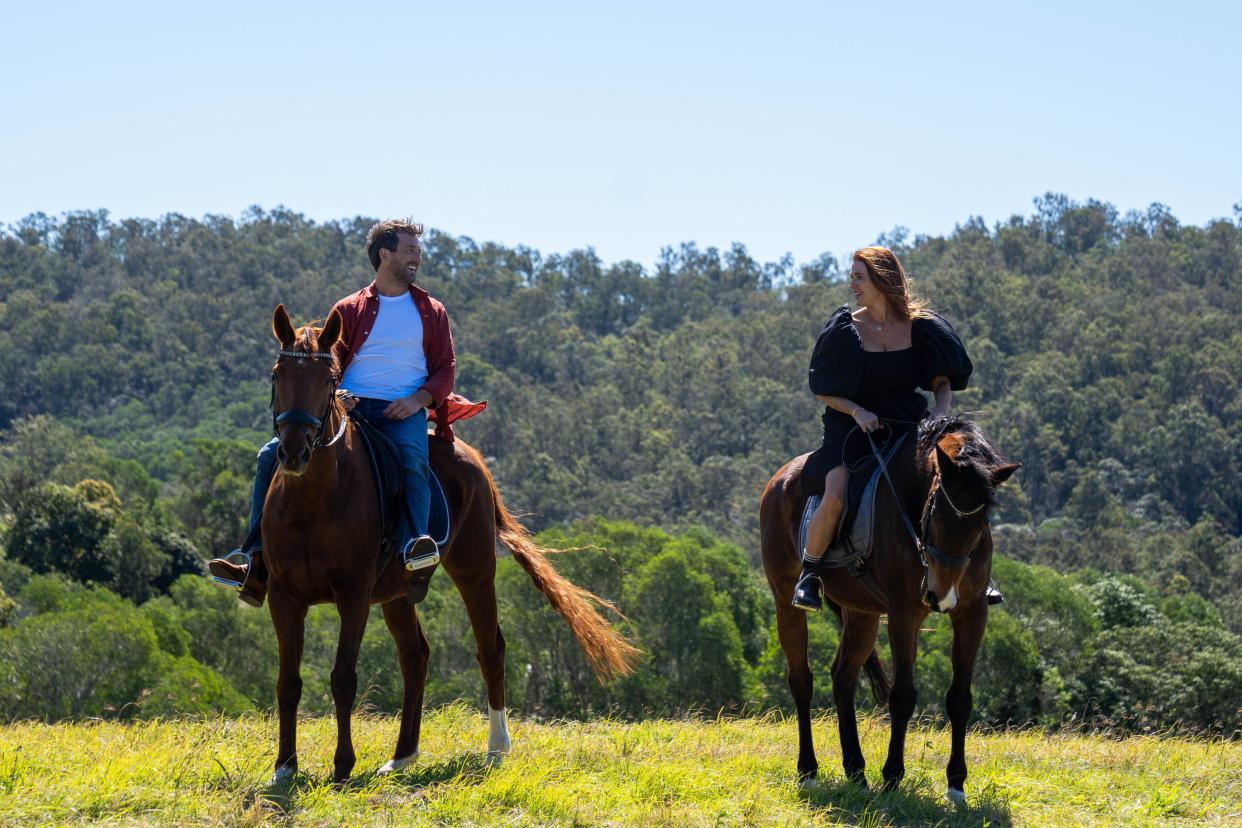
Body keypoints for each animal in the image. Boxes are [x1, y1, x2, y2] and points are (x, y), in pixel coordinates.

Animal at [258, 307, 635, 789]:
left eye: (328, 380)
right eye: (277, 375)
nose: (293, 452)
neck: (313, 498)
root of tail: (472, 458)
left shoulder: (353, 595)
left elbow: (343, 677)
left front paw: (342, 767)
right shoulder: (283, 596)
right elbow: (287, 682)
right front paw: (284, 767)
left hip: (474, 571)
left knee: (490, 648)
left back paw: (496, 748)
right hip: (398, 594)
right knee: (415, 657)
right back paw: (402, 756)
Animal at [755, 422, 1018, 804]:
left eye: (982, 520)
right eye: (936, 512)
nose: (940, 594)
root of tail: (778, 479)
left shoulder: (971, 613)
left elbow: (960, 698)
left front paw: (956, 784)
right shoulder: (903, 613)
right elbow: (903, 696)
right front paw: (893, 776)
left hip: (861, 613)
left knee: (843, 678)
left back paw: (856, 770)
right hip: (784, 598)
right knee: (802, 680)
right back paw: (808, 771)